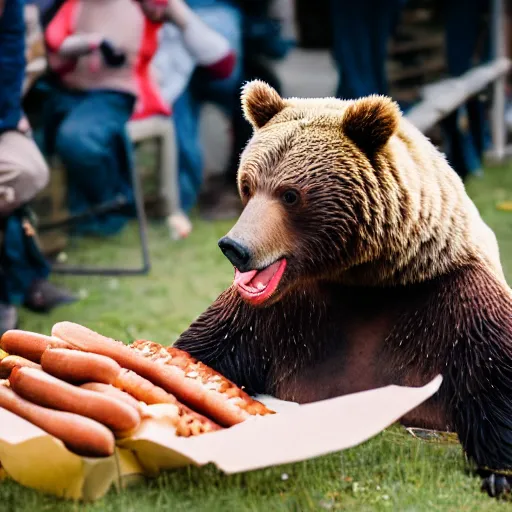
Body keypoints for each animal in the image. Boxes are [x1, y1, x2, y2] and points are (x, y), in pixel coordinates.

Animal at [175, 80, 512, 496]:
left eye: (290, 194)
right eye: (248, 185)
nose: (235, 247)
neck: (365, 278)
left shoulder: (453, 301)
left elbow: (493, 376)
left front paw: (497, 473)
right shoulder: (283, 310)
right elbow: (208, 346)